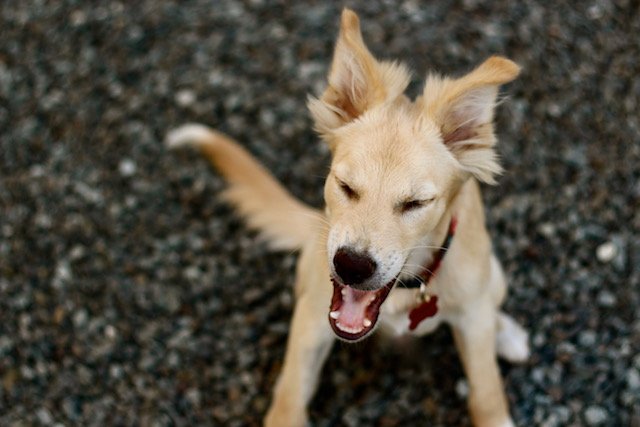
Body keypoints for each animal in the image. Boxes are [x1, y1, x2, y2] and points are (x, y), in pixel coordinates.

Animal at [166, 8, 528, 426]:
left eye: (415, 203)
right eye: (345, 185)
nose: (351, 266)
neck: (404, 297)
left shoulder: (473, 317)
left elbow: (487, 393)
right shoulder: (311, 322)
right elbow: (289, 400)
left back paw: (507, 334)